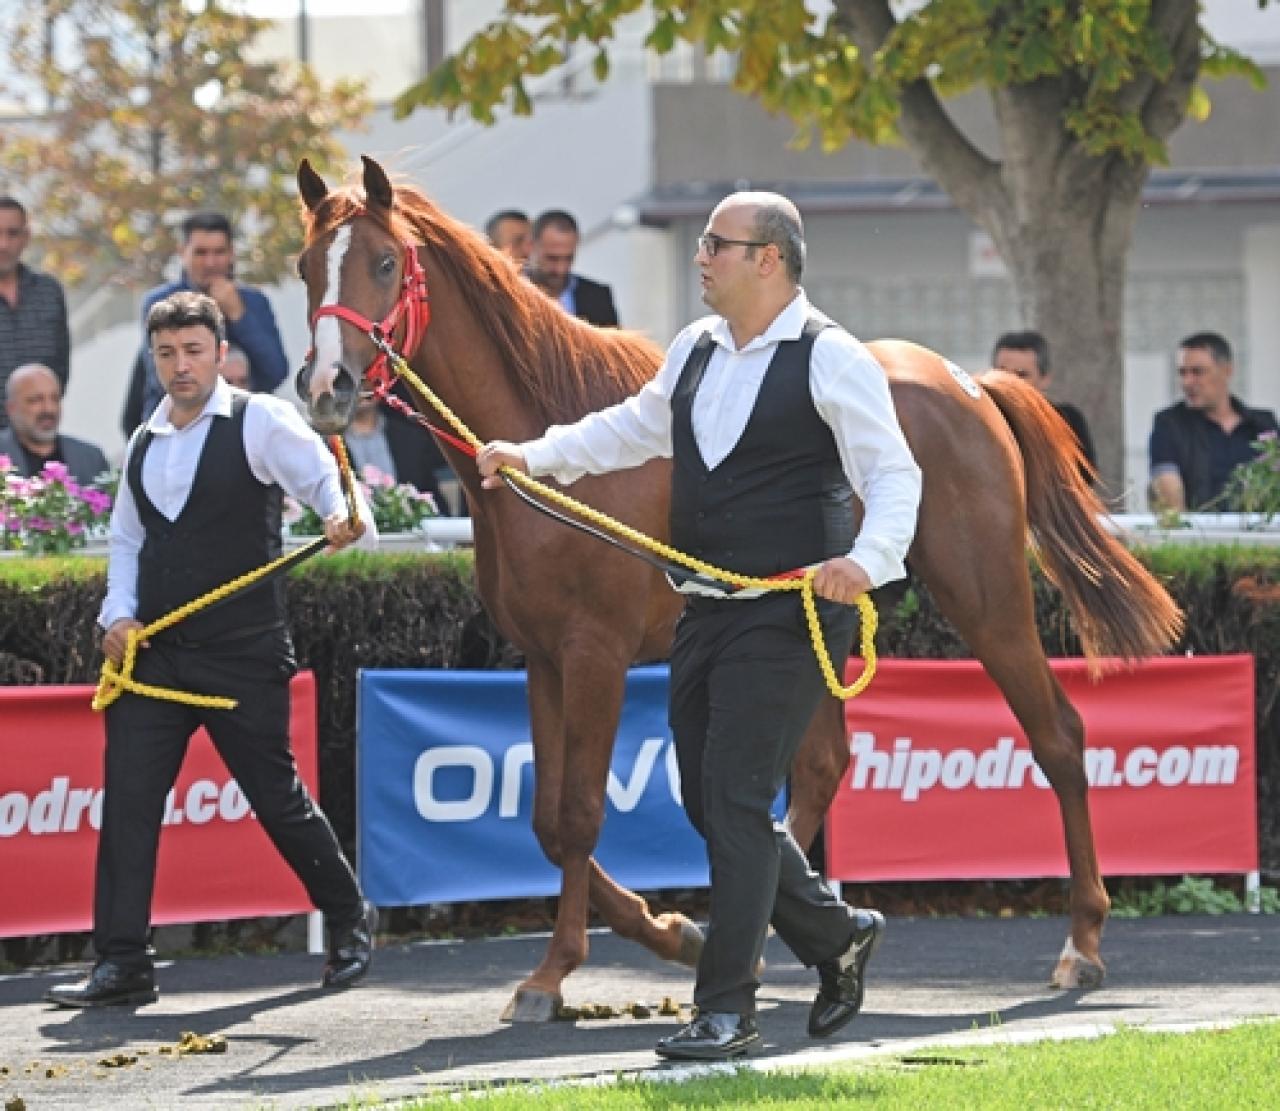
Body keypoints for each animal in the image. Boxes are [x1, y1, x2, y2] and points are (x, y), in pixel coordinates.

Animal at [293, 156, 1177, 1023]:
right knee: (818, 767)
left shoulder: (595, 654)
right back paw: (763, 934)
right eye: (305, 266)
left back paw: (1081, 942)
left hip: (987, 599)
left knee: (1058, 735)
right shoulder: (540, 658)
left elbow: (579, 813)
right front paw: (672, 931)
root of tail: (968, 384)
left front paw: (555, 972)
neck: (555, 469)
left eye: (384, 262)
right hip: (827, 630)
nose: (326, 386)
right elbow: (545, 821)